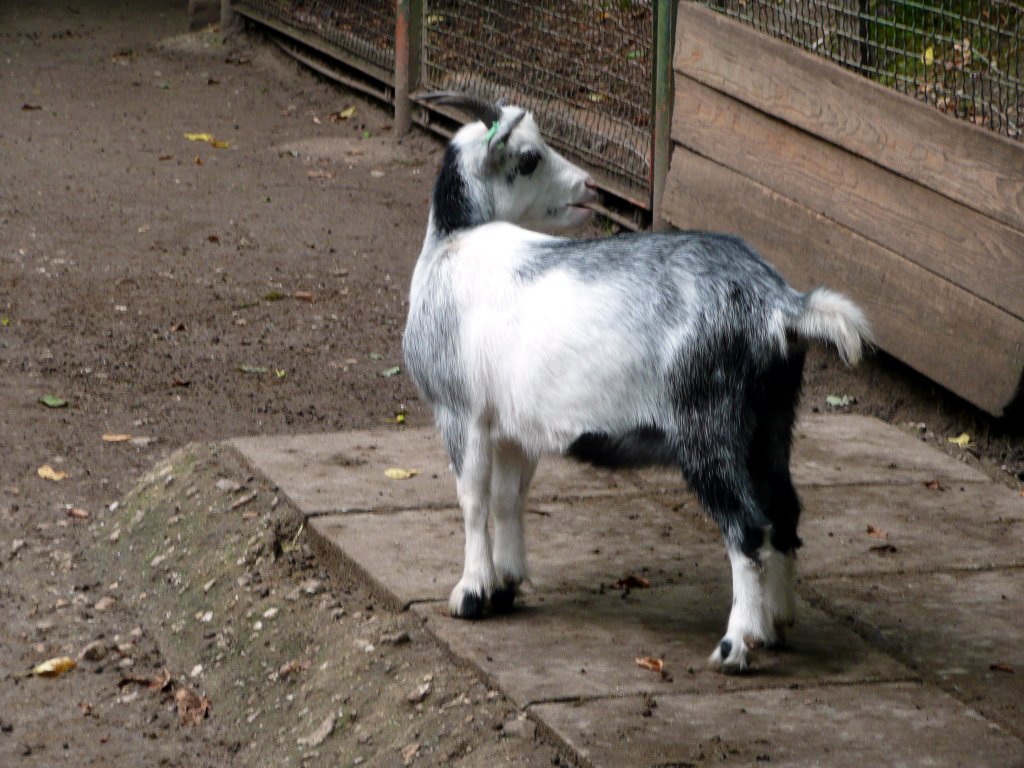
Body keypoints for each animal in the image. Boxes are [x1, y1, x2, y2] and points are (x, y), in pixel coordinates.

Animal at [401, 93, 872, 671]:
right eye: (530, 158)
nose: (589, 187)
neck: (456, 241)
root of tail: (783, 306)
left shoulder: (458, 412)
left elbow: (472, 499)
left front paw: (469, 595)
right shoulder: (512, 426)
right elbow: (509, 497)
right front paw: (505, 585)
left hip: (707, 428)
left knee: (747, 528)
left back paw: (736, 645)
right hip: (771, 423)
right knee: (784, 511)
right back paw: (775, 626)